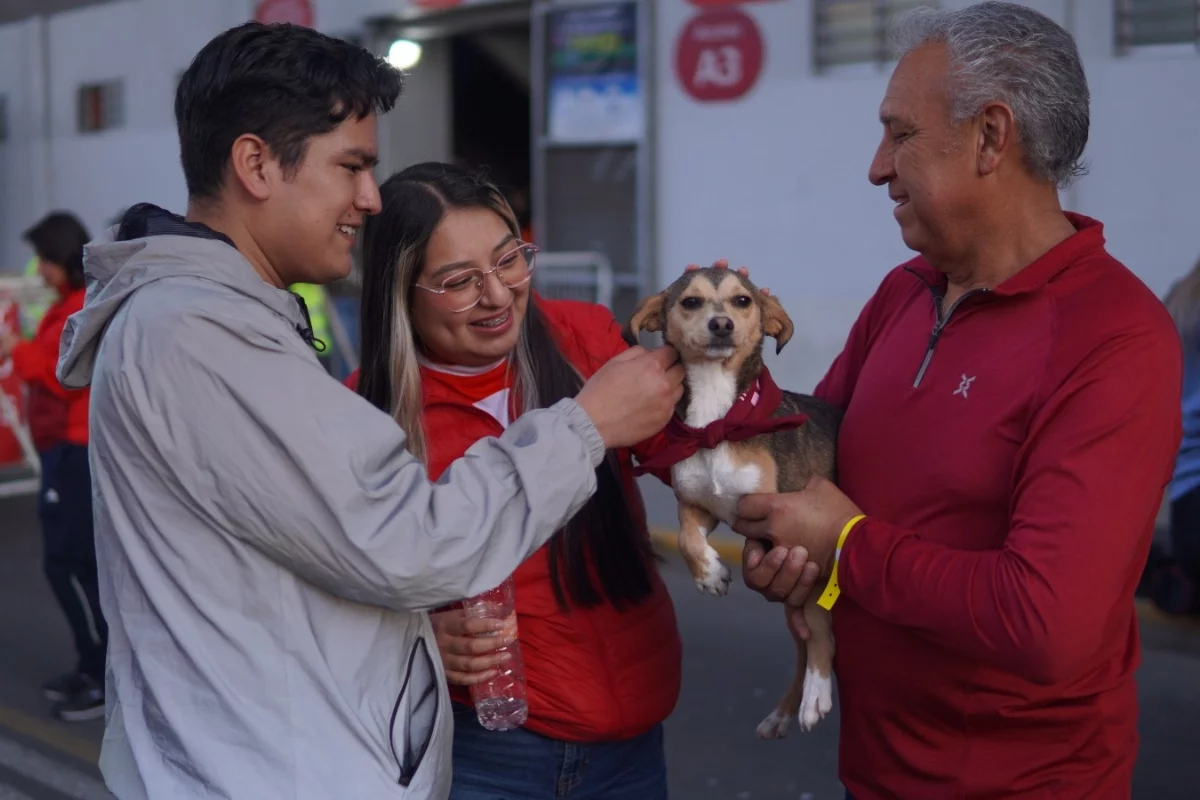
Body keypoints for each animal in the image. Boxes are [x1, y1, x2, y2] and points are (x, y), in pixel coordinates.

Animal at [628, 267, 844, 738]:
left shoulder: (799, 533)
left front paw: (818, 694)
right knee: (799, 644)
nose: (722, 324)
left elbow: (821, 625)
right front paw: (710, 574)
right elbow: (688, 539)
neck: (719, 421)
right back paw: (781, 713)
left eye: (742, 300)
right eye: (690, 302)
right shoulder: (700, 505)